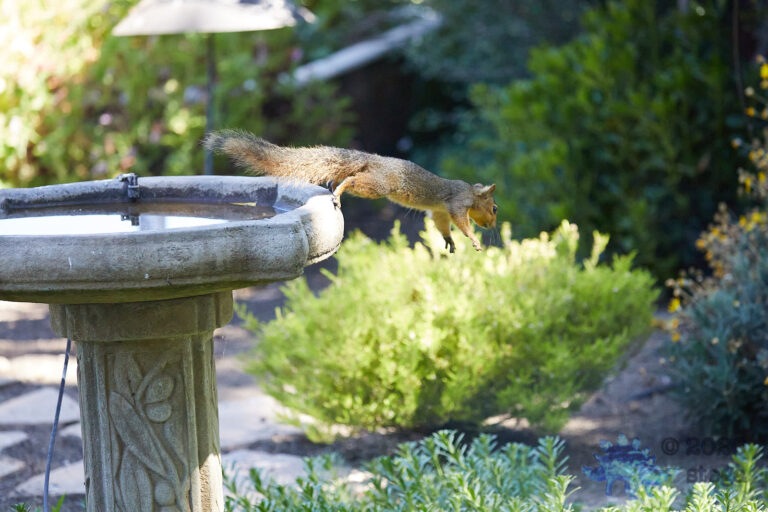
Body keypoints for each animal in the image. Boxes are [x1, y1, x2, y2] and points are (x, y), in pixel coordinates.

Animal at [203, 130, 497, 252]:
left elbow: (442, 223)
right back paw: (338, 192)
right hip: (379, 186)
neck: (472, 192)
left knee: (350, 177)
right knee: (354, 179)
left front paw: (449, 240)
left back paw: (334, 187)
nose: (493, 225)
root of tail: (374, 160)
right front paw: (474, 239)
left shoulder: (439, 211)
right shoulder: (458, 203)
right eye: (495, 208)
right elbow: (461, 221)